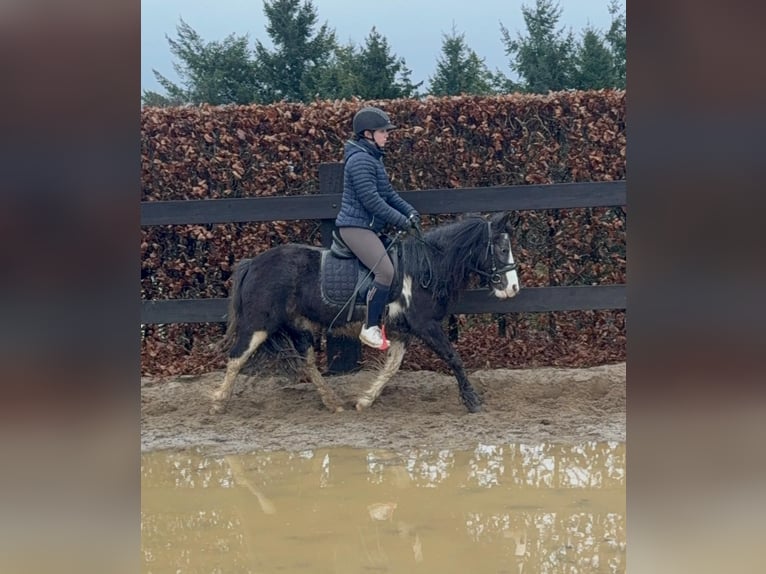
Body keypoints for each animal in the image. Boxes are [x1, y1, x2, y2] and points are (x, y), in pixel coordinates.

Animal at [210, 211, 520, 415]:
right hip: (258, 324)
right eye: (502, 248)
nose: (514, 288)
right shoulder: (426, 324)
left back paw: (333, 403)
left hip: (299, 326)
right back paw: (218, 402)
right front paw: (473, 401)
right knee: (236, 358)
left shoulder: (403, 331)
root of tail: (253, 263)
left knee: (308, 364)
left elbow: (392, 367)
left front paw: (365, 400)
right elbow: (453, 358)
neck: (425, 267)